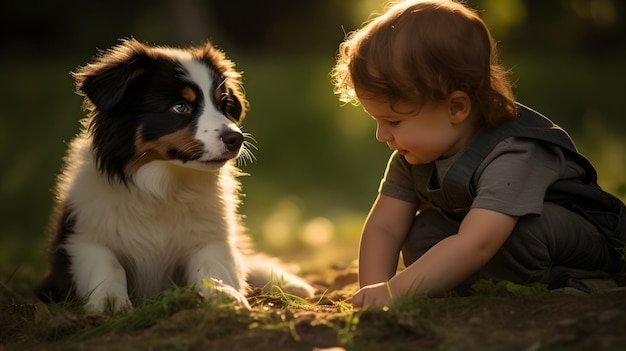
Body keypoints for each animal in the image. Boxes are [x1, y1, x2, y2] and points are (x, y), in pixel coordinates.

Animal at [36, 38, 314, 314]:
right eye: (180, 107)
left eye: (223, 105)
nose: (237, 139)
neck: (164, 186)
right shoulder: (81, 238)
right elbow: (108, 264)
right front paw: (109, 300)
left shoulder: (211, 237)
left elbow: (212, 267)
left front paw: (223, 295)